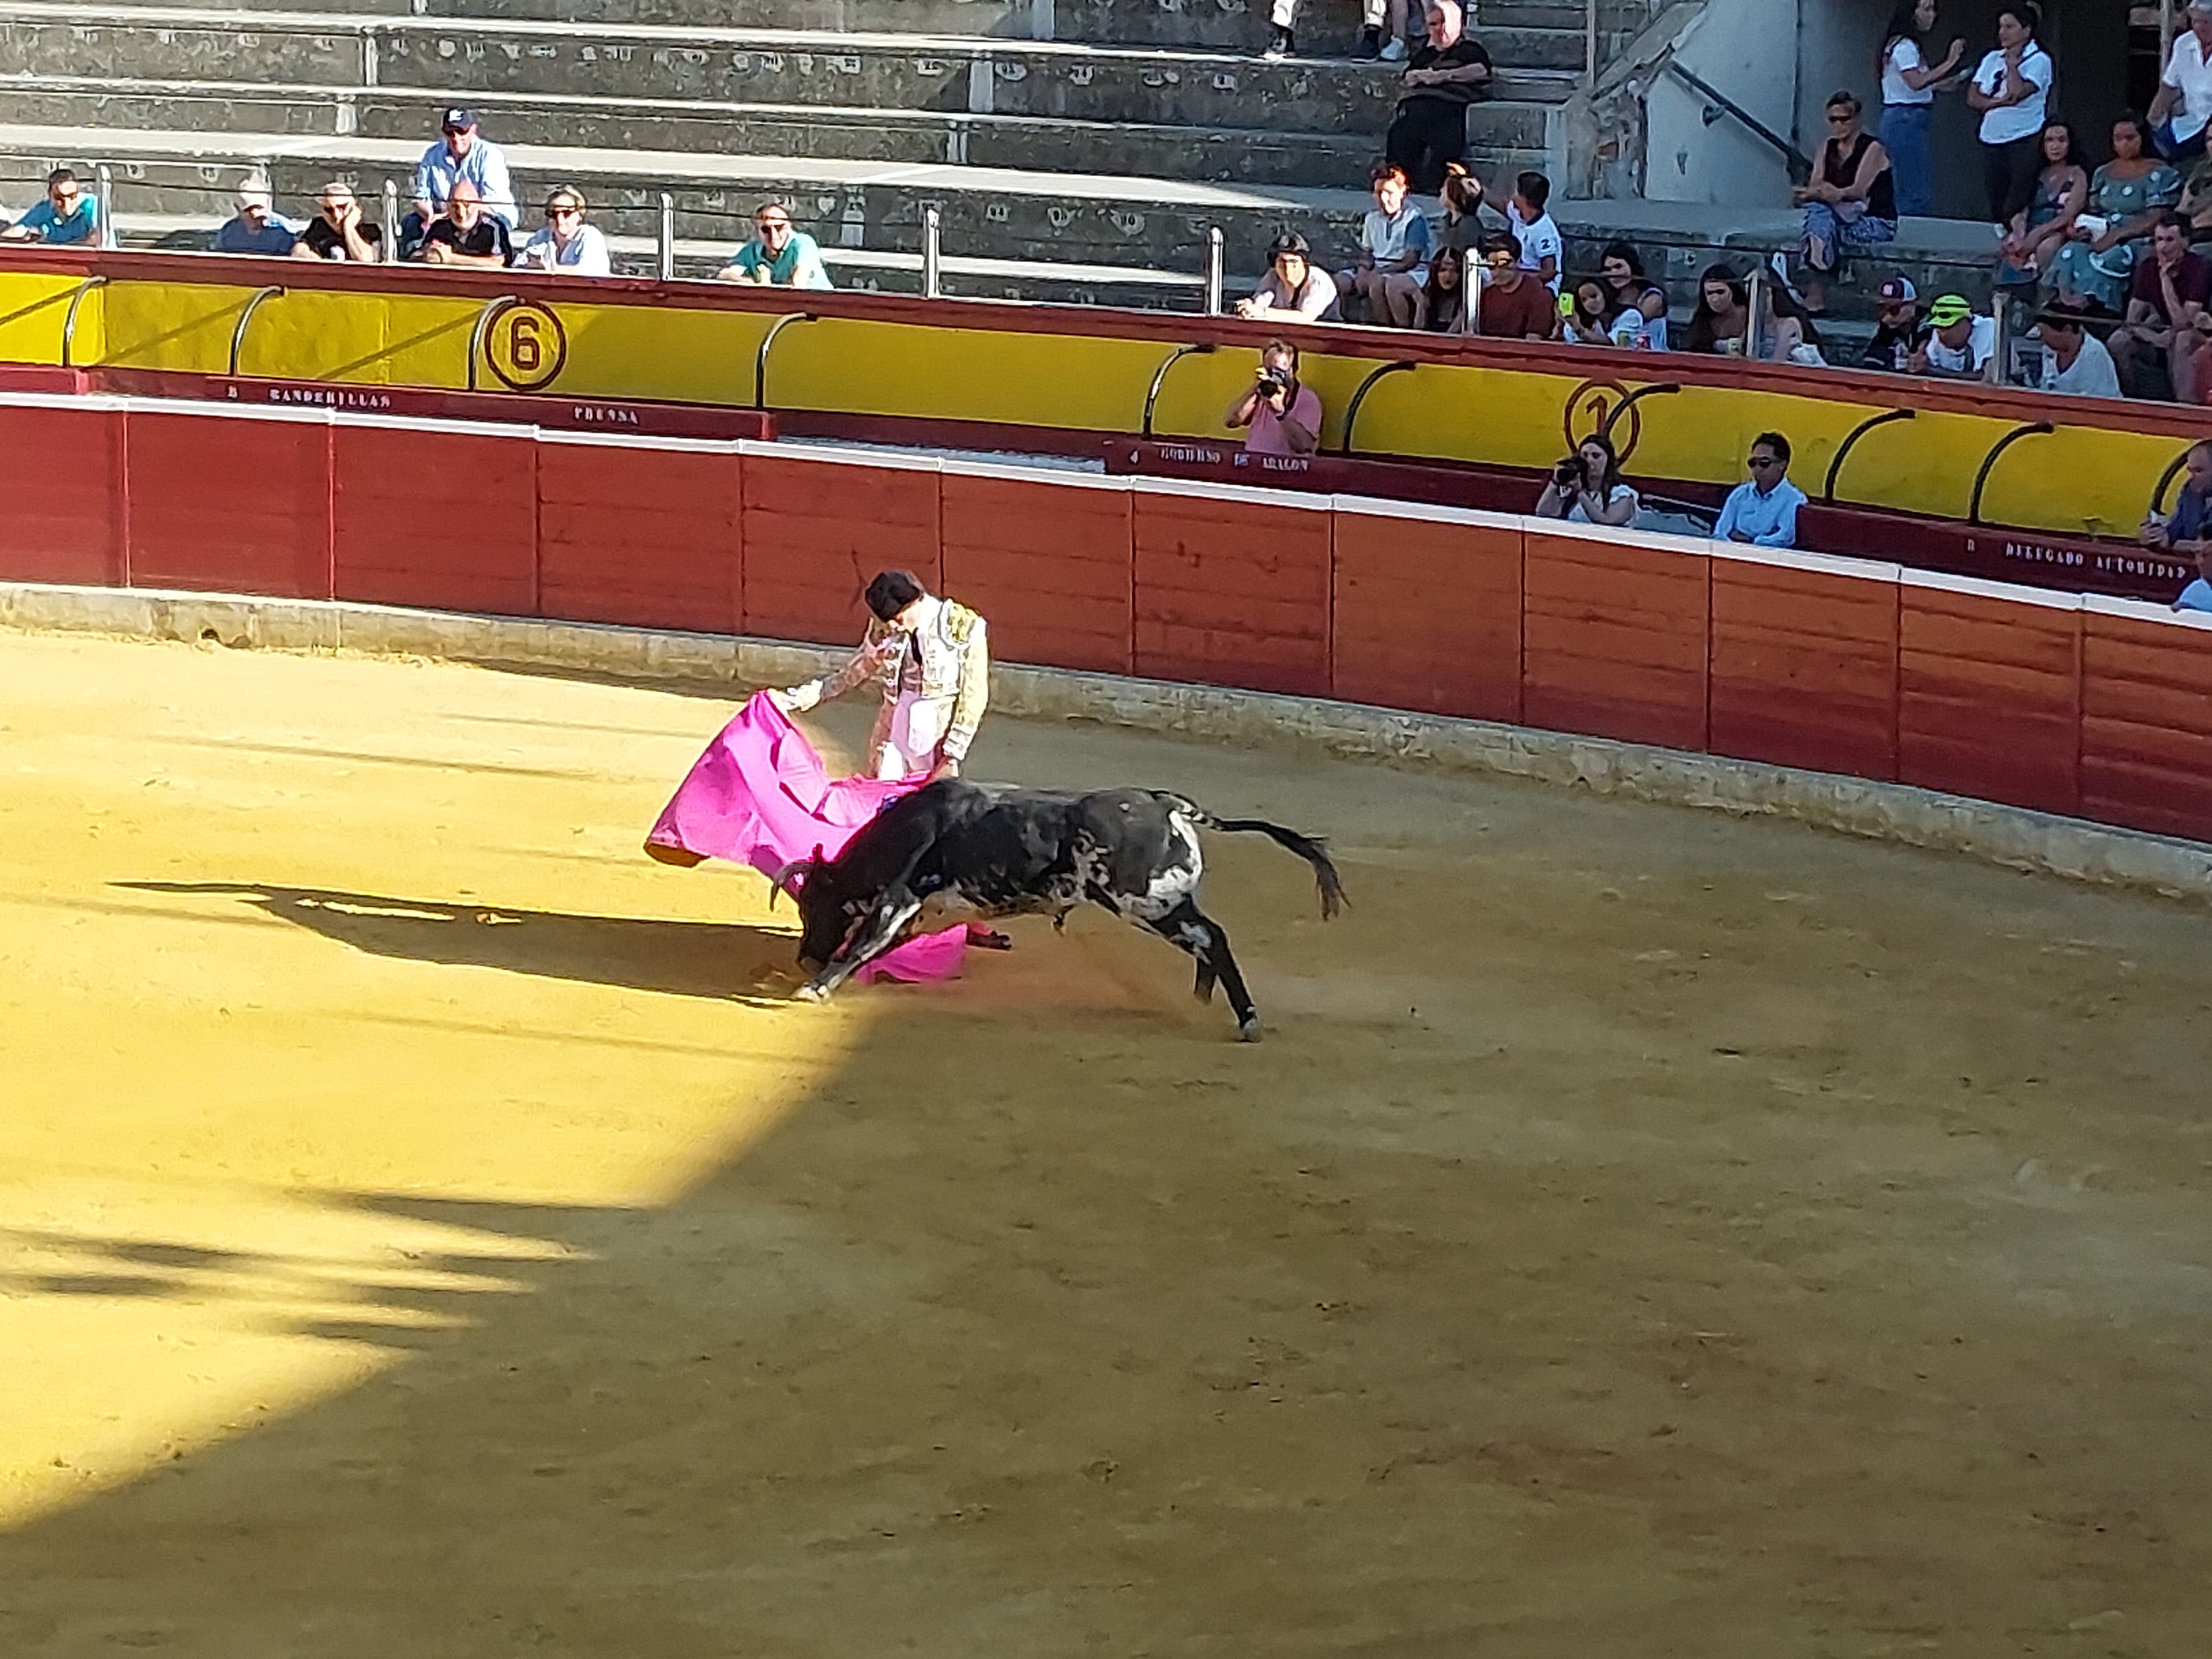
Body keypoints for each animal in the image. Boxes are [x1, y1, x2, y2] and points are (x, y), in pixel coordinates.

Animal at [770, 787, 1336, 1044]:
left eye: (812, 904)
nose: (804, 958)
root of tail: (1165, 803)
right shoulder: (923, 910)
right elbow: (877, 946)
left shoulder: (899, 895)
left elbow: (864, 942)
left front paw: (815, 988)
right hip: (1165, 902)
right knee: (1207, 938)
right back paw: (1203, 1002)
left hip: (1145, 903)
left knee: (1212, 938)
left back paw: (1246, 1020)